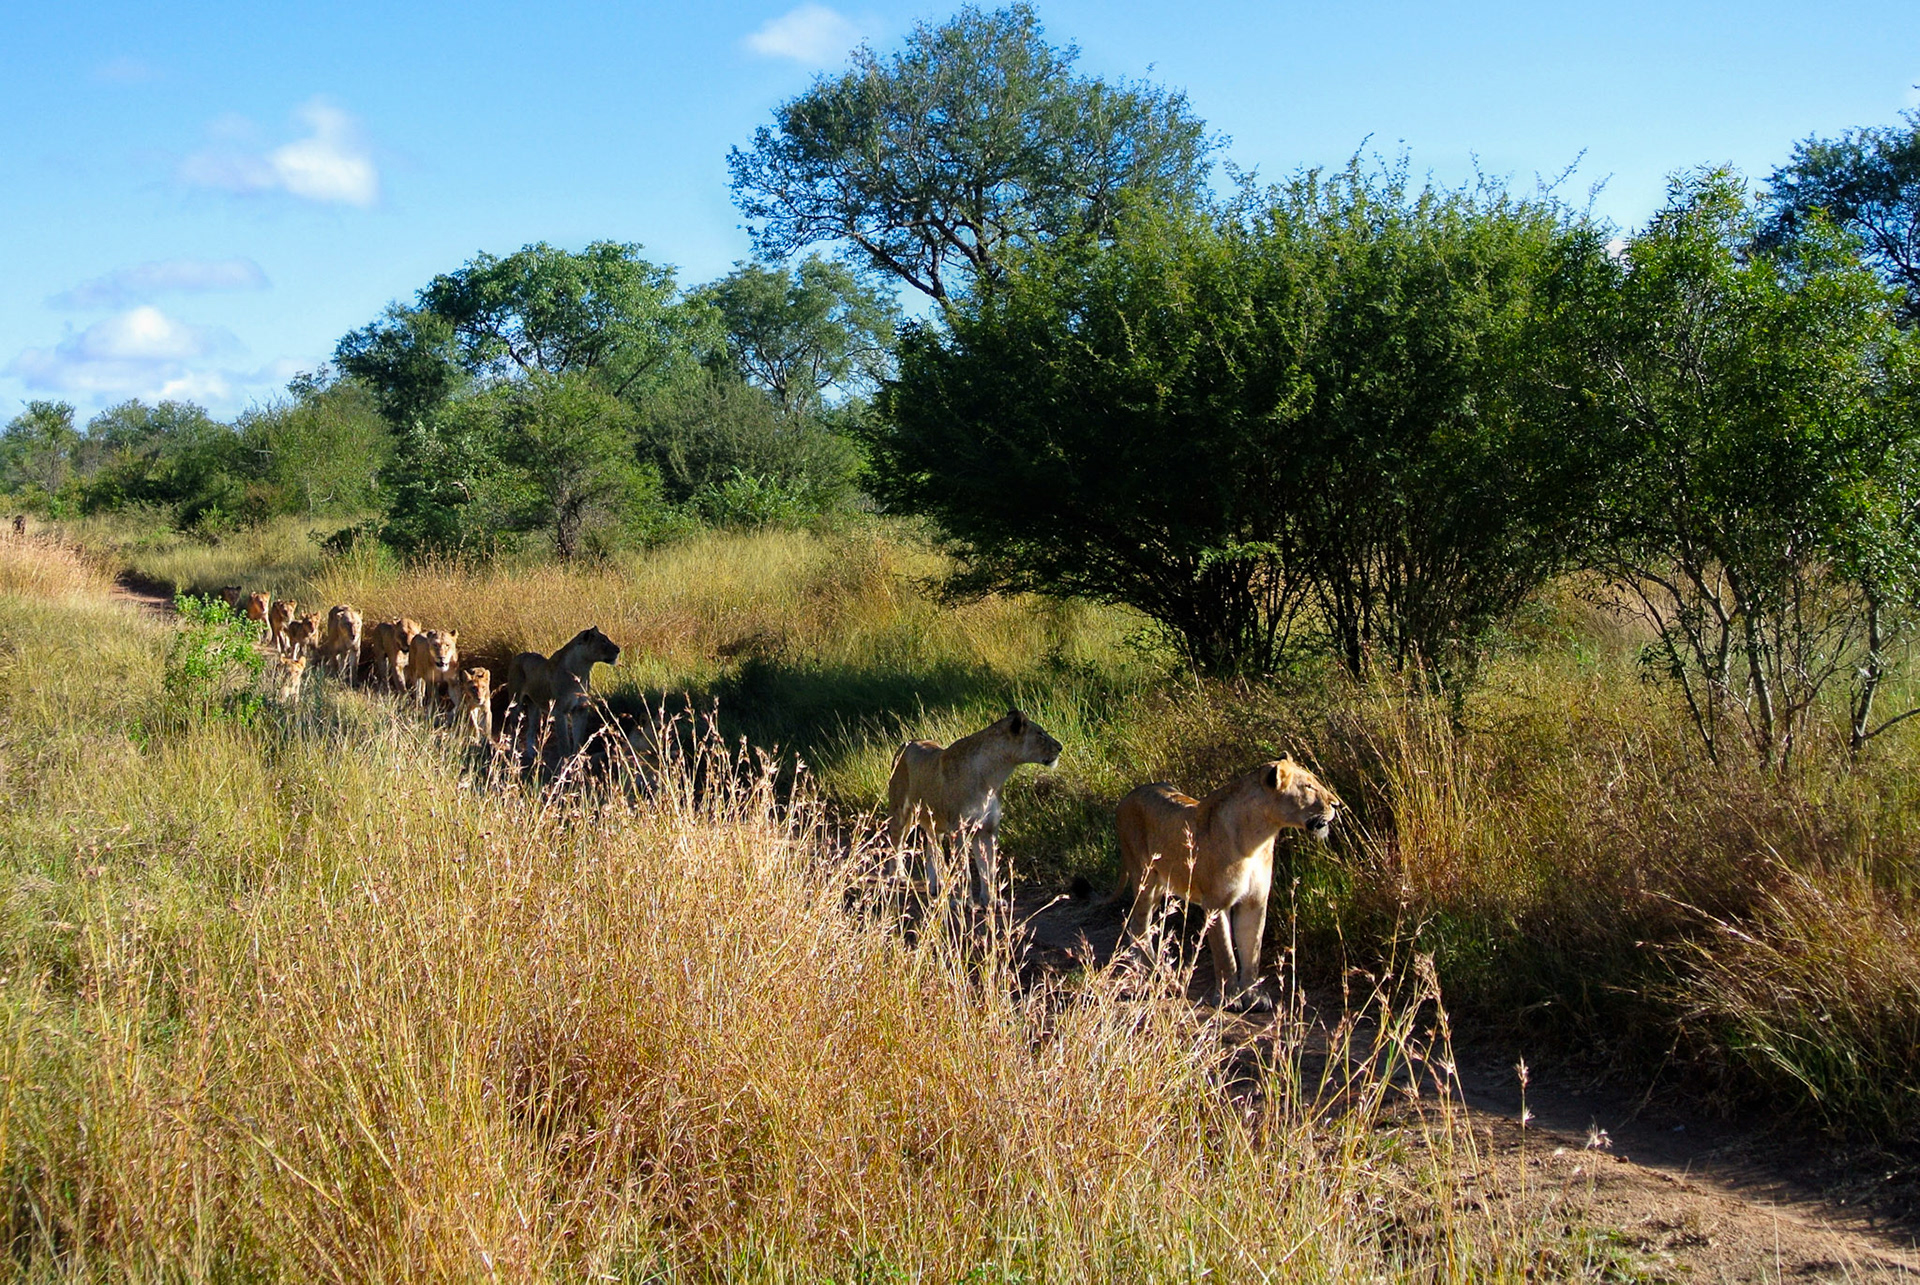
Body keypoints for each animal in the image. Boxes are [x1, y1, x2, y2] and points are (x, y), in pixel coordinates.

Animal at [887, 710, 1062, 906]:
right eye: (1040, 734)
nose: (1060, 747)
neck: (994, 776)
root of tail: (908, 741)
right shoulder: (959, 829)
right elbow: (964, 871)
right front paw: (963, 903)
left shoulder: (988, 829)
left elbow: (989, 870)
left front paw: (991, 901)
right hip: (901, 813)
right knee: (896, 843)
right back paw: (898, 877)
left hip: (934, 821)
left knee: (930, 847)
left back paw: (935, 886)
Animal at [1111, 756, 1338, 1009]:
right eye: (1308, 786)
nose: (1337, 804)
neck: (1259, 837)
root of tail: (1128, 796)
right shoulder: (1216, 903)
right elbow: (1226, 954)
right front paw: (1228, 997)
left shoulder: (1255, 902)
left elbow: (1252, 952)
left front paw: (1252, 996)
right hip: (1145, 879)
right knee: (1140, 926)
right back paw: (1158, 974)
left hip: (1160, 885)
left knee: (1136, 925)